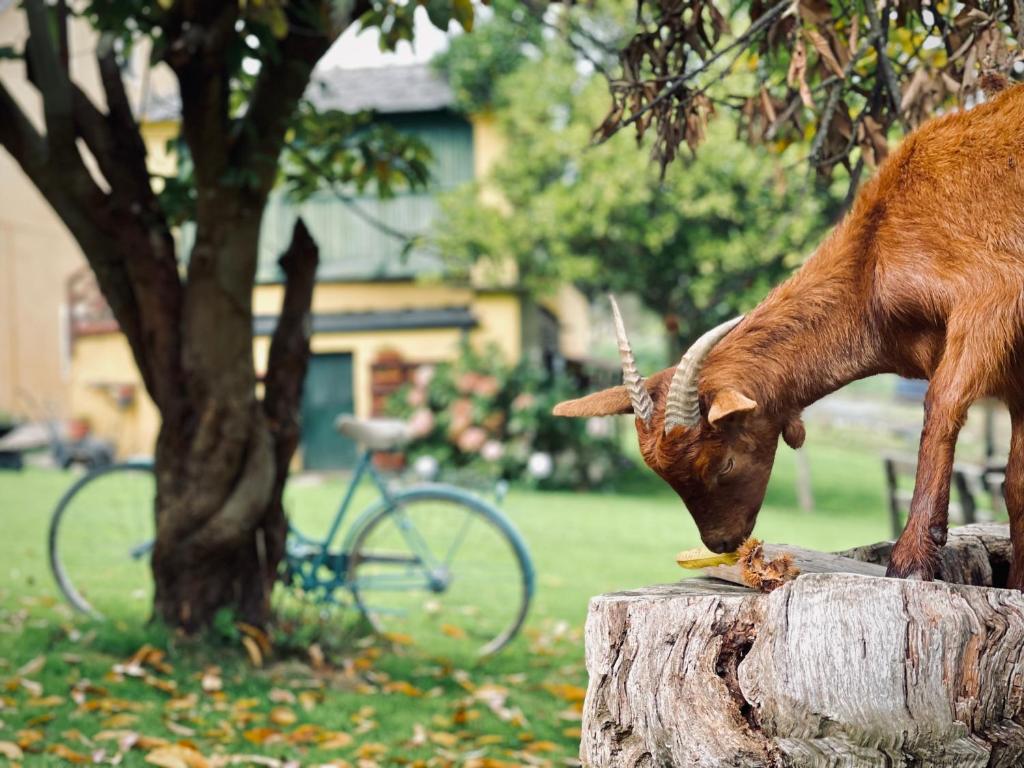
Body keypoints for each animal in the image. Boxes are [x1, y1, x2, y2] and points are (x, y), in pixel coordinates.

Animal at [557, 82, 1024, 589]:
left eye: (724, 462)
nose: (722, 542)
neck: (873, 257)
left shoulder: (991, 297)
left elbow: (942, 405)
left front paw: (912, 560)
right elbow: (1016, 480)